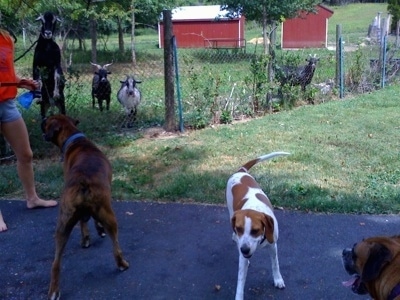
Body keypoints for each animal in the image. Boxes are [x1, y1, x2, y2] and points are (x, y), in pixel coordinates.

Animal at [40, 115, 129, 300]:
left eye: (47, 121)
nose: (42, 119)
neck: (76, 140)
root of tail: (83, 182)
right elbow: (92, 221)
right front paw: (98, 230)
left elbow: (84, 222)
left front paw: (86, 238)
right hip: (110, 216)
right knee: (115, 247)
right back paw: (122, 264)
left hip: (63, 225)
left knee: (56, 263)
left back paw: (54, 290)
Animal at [227, 152, 290, 300]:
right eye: (239, 229)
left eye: (255, 230)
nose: (244, 250)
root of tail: (241, 171)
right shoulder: (243, 257)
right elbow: (240, 280)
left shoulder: (273, 245)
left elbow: (275, 264)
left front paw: (278, 279)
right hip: (230, 209)